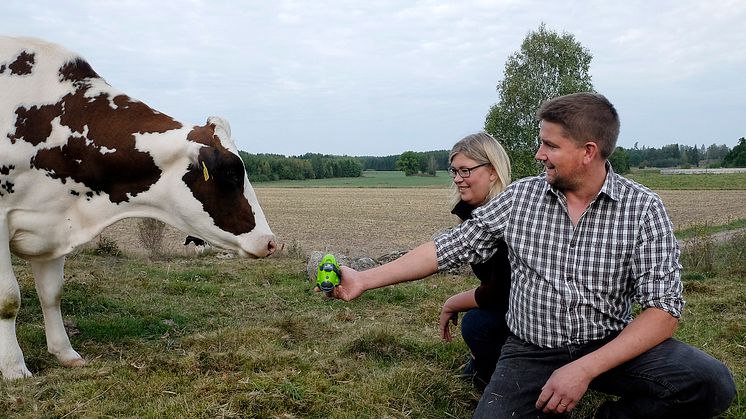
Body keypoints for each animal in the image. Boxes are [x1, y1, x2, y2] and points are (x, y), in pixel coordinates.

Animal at [0, 37, 276, 380]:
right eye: (231, 173)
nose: (270, 242)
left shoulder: (55, 222)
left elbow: (51, 293)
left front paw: (65, 353)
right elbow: (8, 298)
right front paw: (14, 368)